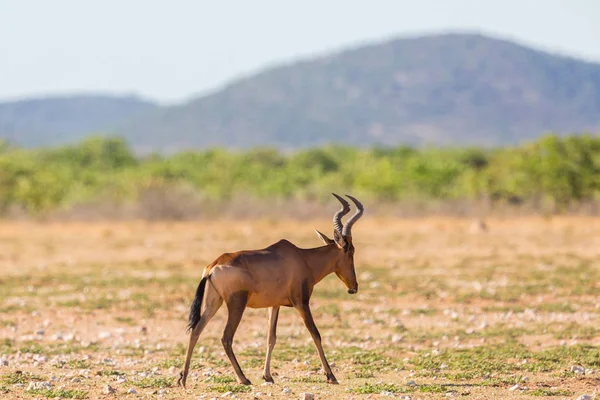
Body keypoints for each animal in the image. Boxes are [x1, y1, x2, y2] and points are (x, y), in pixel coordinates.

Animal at [178, 194, 364, 388]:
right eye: (350, 251)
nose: (353, 287)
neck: (302, 258)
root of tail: (213, 266)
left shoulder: (274, 305)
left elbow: (271, 338)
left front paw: (267, 376)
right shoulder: (301, 303)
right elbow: (315, 334)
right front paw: (331, 376)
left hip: (213, 303)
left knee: (196, 331)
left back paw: (183, 378)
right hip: (237, 304)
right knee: (226, 337)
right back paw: (243, 378)